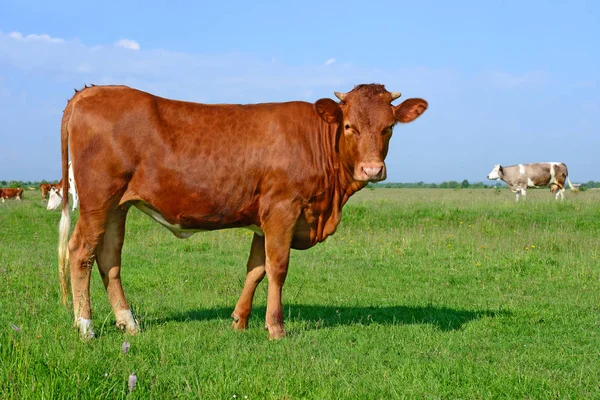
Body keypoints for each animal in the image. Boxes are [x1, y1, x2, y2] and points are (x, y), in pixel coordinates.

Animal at [57, 83, 426, 340]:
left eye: (389, 127)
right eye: (349, 126)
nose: (372, 170)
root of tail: (94, 90)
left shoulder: (264, 220)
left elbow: (255, 269)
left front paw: (240, 320)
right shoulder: (283, 209)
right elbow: (277, 268)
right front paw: (275, 327)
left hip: (118, 206)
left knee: (109, 257)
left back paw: (128, 323)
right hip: (98, 199)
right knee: (81, 252)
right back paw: (86, 327)